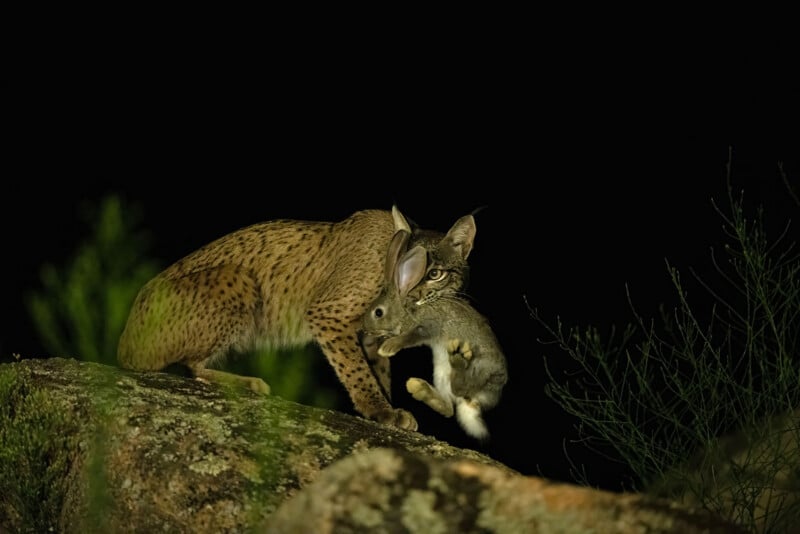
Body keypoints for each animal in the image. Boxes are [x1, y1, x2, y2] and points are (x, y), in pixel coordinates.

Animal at [362, 229, 508, 441]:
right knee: (449, 407)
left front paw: (387, 348)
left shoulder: (427, 327)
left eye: (378, 313)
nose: (364, 329)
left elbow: (410, 337)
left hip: (479, 369)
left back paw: (458, 359)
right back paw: (418, 387)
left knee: (461, 388)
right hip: (440, 374)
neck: (407, 308)